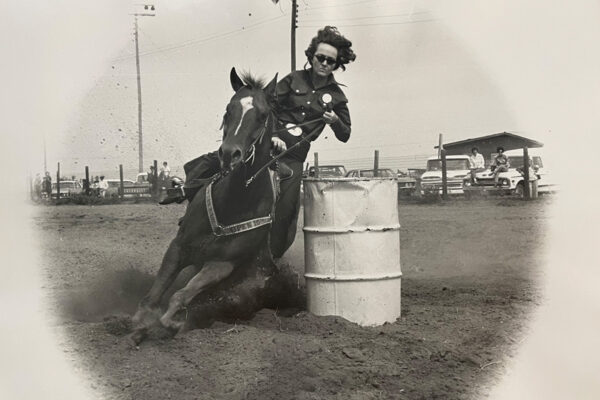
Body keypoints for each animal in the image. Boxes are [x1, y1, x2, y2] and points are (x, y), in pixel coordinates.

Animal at [130, 69, 278, 344]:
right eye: (228, 109)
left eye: (263, 115)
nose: (229, 154)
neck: (235, 201)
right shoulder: (178, 246)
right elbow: (154, 294)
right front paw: (138, 326)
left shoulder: (221, 265)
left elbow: (182, 295)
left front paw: (171, 323)